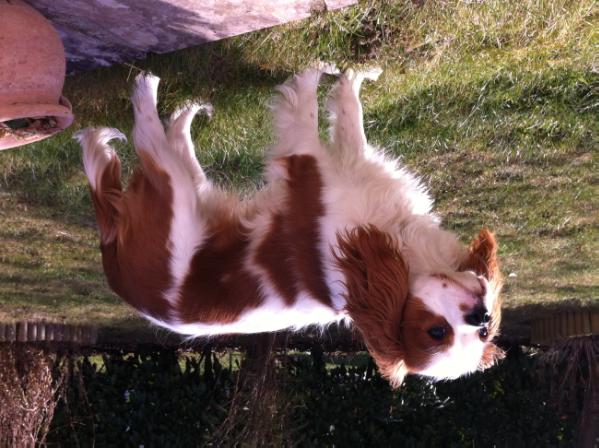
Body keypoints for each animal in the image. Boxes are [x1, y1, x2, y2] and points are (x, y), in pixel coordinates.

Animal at [77, 68, 504, 386]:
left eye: (479, 334)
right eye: (437, 332)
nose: (481, 316)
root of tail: (113, 268)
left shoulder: (330, 168)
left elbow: (329, 120)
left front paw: (330, 75)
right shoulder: (331, 168)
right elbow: (340, 116)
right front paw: (349, 73)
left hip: (181, 201)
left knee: (158, 144)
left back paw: (164, 102)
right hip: (186, 198)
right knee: (161, 144)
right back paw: (168, 102)